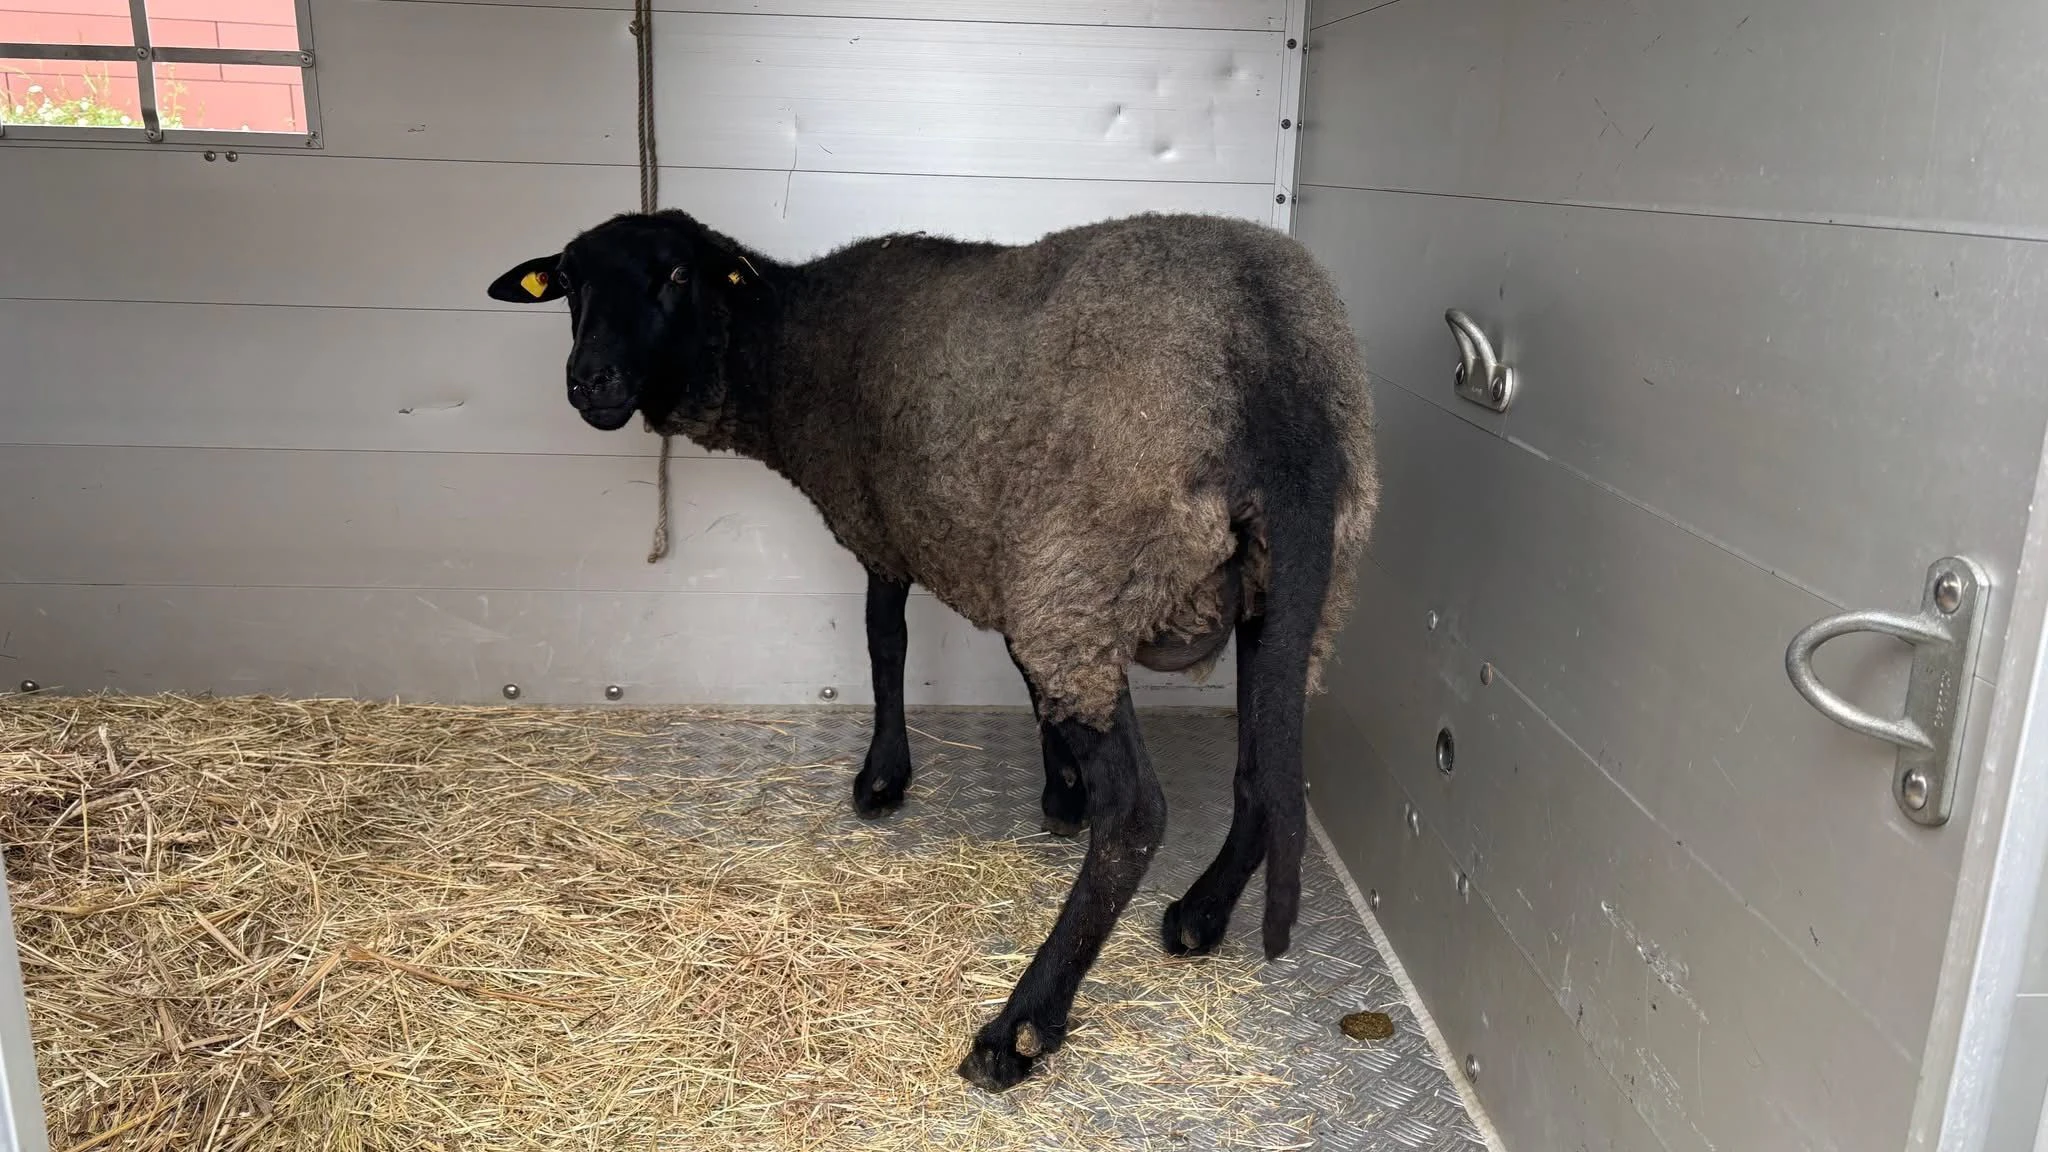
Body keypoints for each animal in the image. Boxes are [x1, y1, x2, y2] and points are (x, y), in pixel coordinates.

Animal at [485, 208, 1377, 1091]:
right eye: (568, 283)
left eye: (674, 273)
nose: (589, 380)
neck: (790, 340)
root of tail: (1270, 362)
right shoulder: (1002, 553)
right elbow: (1023, 675)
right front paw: (1060, 791)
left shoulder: (895, 533)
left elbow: (887, 645)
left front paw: (884, 778)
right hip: (1282, 592)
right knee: (1264, 768)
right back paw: (1201, 913)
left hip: (1089, 568)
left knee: (1138, 812)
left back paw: (1019, 1027)